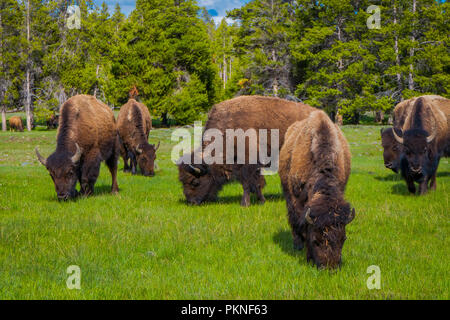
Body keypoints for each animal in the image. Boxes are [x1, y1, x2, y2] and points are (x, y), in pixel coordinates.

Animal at [177, 94, 316, 206]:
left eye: (194, 182)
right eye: (182, 181)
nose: (191, 202)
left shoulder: (249, 164)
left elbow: (248, 183)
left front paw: (245, 203)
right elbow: (256, 183)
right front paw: (261, 201)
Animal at [278, 111, 356, 268]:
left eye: (343, 239)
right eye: (316, 240)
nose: (330, 267)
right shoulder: (297, 200)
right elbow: (300, 222)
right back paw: (297, 244)